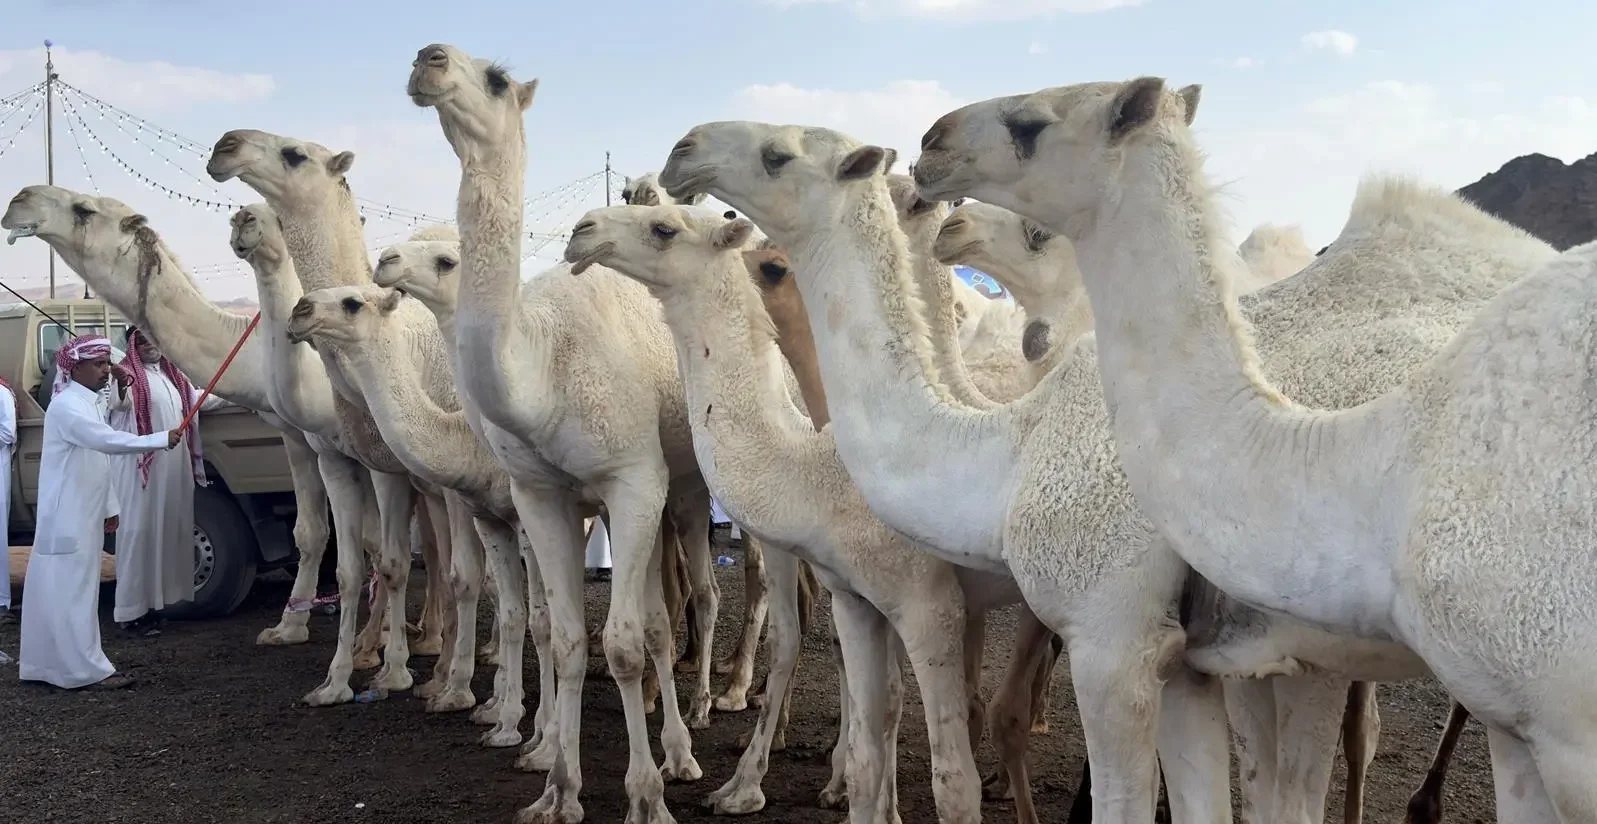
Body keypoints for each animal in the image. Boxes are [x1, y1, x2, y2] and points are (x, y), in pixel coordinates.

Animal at [0, 185, 431, 659]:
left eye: (84, 209)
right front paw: (291, 627)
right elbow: (314, 532)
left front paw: (378, 639)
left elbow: (378, 539)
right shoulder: (300, 438)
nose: (19, 200)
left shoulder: (364, 447)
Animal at [207, 128, 460, 707]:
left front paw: (395, 671)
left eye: (294, 153)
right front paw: (340, 676)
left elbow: (393, 562)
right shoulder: (336, 460)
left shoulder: (390, 468)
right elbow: (350, 568)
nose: (225, 144)